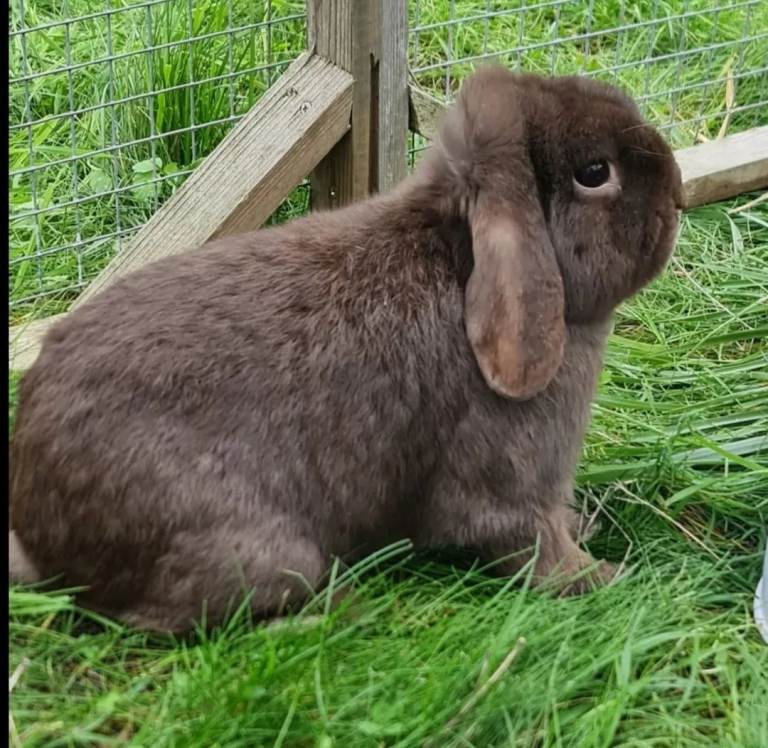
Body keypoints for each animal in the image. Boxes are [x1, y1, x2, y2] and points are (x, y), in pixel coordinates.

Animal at [9, 65, 684, 633]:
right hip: (258, 550)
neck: (461, 263)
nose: (678, 192)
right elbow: (533, 547)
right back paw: (334, 611)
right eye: (594, 173)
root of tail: (44, 540)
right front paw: (608, 579)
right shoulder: (510, 485)